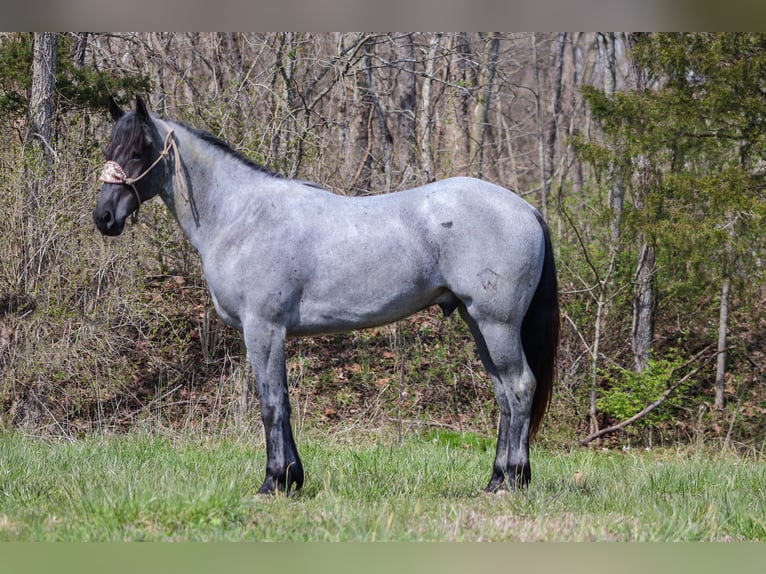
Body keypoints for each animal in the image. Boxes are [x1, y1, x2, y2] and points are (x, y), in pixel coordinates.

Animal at [93, 95, 560, 496]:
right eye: (109, 148)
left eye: (139, 151)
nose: (104, 217)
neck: (242, 216)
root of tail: (526, 209)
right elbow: (282, 402)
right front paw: (292, 478)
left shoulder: (263, 329)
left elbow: (271, 404)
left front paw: (274, 482)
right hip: (476, 321)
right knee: (503, 394)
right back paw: (496, 479)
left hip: (496, 323)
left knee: (520, 387)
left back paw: (513, 480)